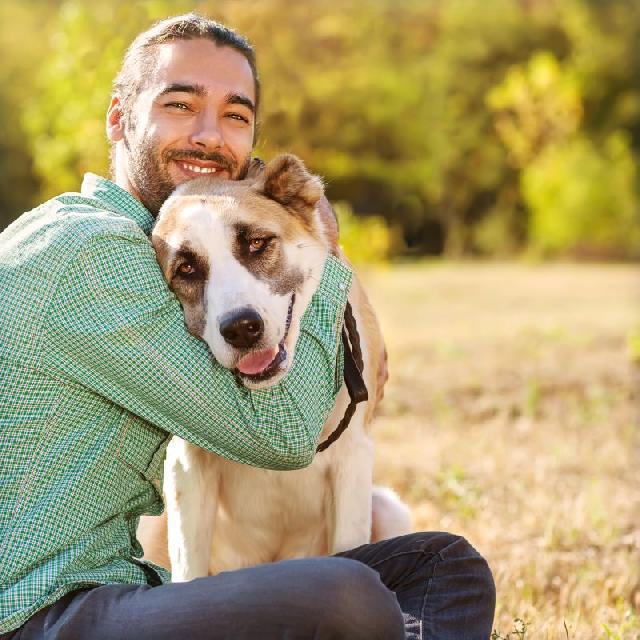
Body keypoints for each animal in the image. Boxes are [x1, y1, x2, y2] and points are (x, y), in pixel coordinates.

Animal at [138, 154, 412, 580]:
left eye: (256, 243)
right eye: (186, 269)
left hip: (388, 507)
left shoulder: (353, 457)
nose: (241, 328)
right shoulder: (187, 465)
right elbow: (188, 568)